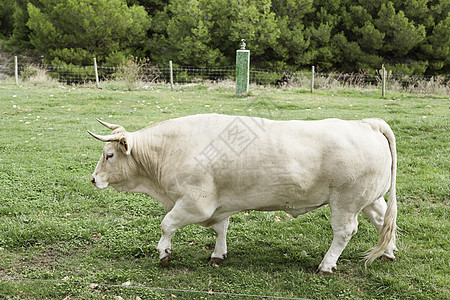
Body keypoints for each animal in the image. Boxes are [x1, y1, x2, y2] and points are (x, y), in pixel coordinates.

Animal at [88, 113, 398, 274]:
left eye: (109, 155)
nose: (93, 179)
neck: (168, 151)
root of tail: (366, 123)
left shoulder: (195, 204)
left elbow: (167, 224)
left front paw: (164, 252)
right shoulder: (220, 204)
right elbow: (221, 229)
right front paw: (218, 254)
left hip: (345, 201)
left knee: (344, 232)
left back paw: (326, 264)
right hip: (368, 198)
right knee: (383, 220)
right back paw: (388, 252)